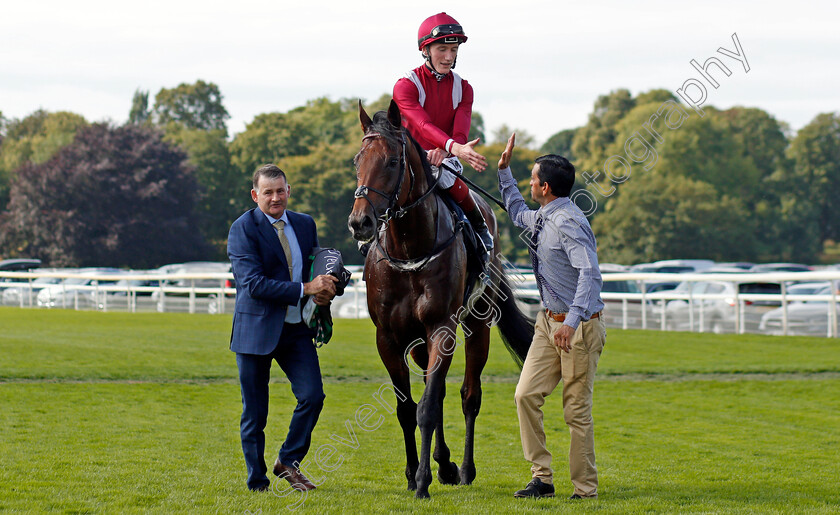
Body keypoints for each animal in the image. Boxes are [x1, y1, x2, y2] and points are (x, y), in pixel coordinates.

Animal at [350, 101, 536, 500]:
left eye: (392, 161)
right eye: (357, 160)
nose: (360, 222)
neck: (409, 251)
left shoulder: (441, 328)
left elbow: (428, 408)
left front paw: (423, 480)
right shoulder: (388, 337)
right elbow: (409, 408)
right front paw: (412, 474)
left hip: (476, 325)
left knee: (468, 395)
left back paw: (462, 468)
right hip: (420, 342)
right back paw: (445, 463)